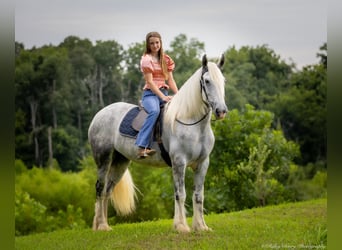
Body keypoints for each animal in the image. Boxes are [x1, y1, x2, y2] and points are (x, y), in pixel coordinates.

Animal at [88, 53, 227, 232]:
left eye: (223, 80)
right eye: (207, 81)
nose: (221, 111)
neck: (191, 123)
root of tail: (100, 114)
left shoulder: (203, 163)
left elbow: (198, 195)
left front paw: (201, 227)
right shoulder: (179, 162)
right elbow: (180, 194)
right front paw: (182, 226)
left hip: (120, 161)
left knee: (107, 190)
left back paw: (104, 225)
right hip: (103, 159)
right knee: (100, 188)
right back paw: (100, 226)